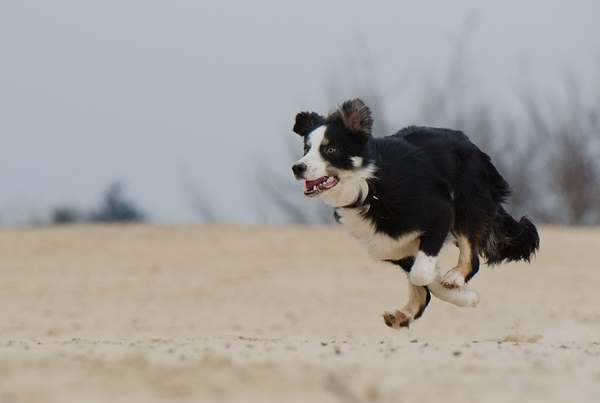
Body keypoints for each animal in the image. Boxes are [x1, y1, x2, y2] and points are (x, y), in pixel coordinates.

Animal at [290, 99, 540, 330]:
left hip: (467, 204)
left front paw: (465, 296)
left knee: (472, 257)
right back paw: (403, 315)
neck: (369, 188)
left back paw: (454, 278)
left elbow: (420, 274)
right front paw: (463, 296)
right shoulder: (387, 244)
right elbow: (421, 277)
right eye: (306, 149)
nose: (297, 168)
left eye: (330, 149)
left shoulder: (440, 213)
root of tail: (469, 143)